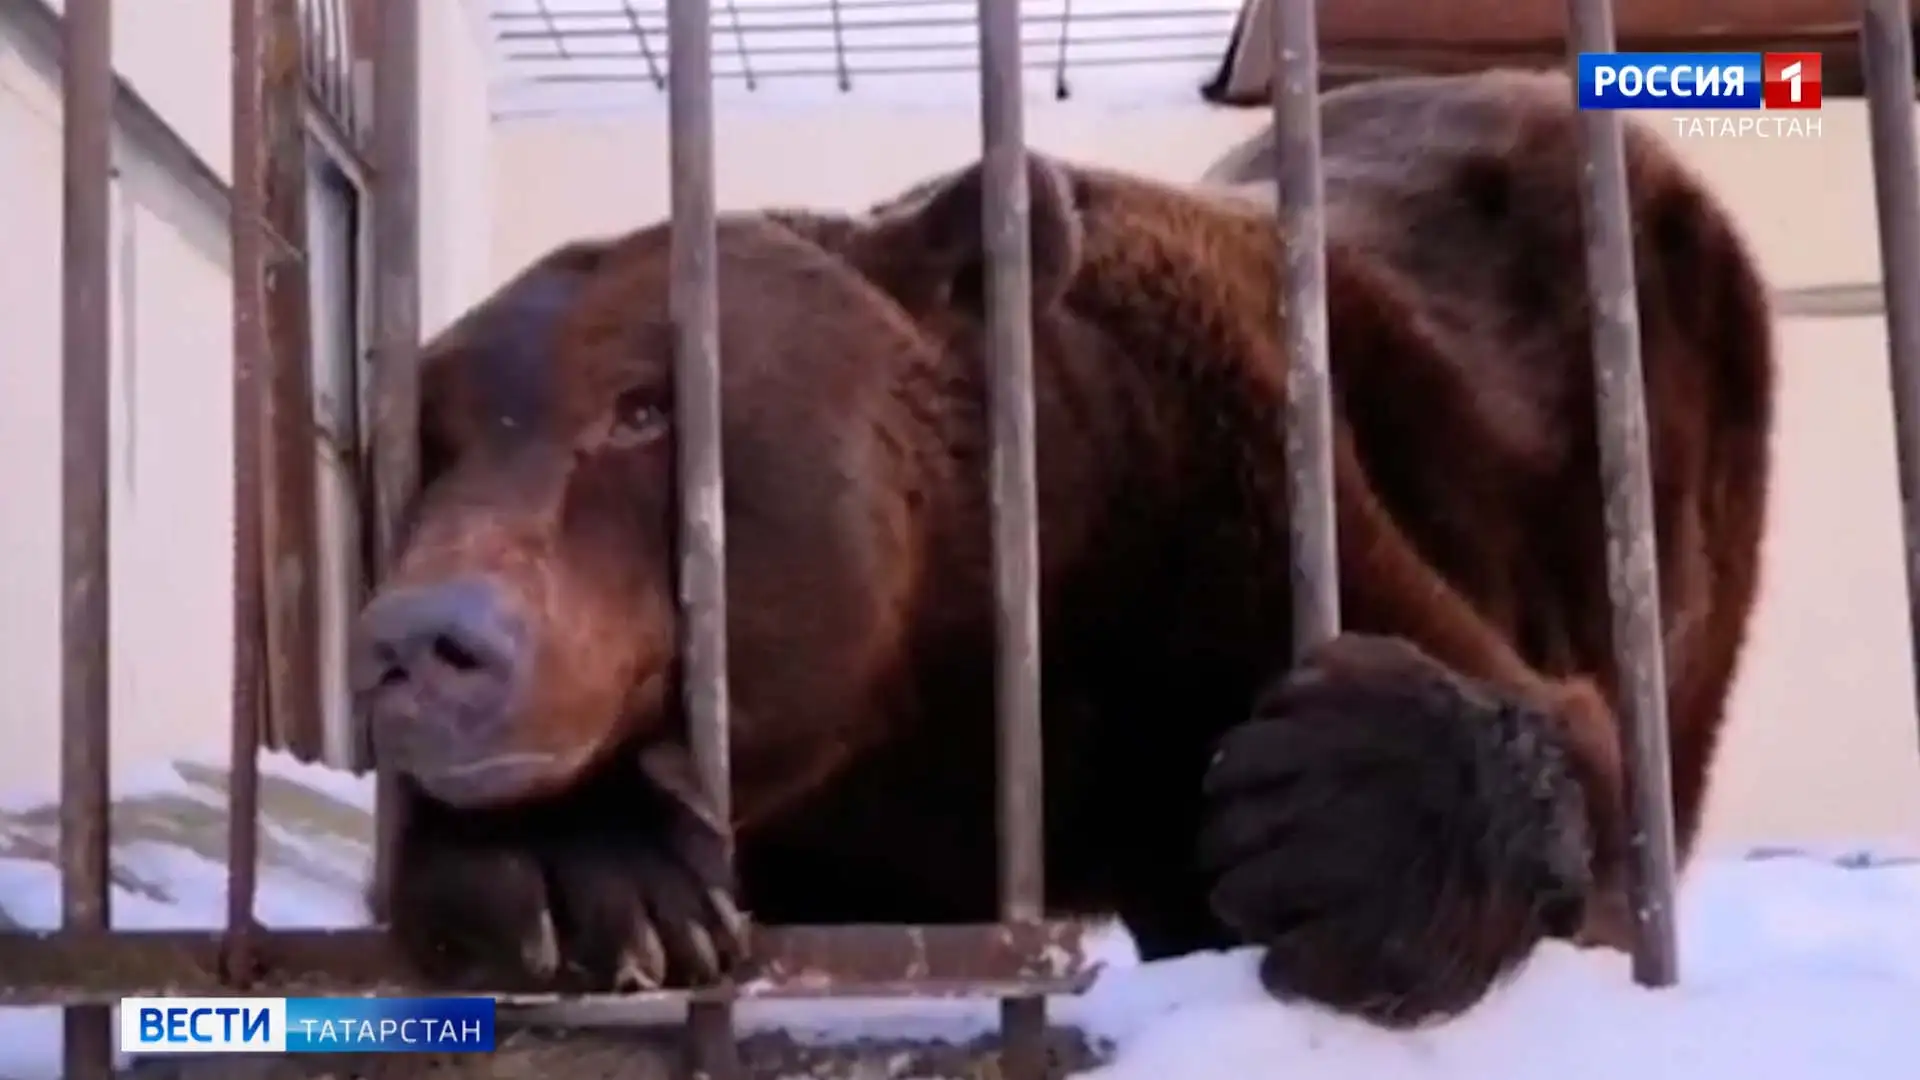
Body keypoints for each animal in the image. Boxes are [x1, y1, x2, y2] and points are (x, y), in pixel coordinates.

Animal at [357, 69, 1766, 1022]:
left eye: (643, 409)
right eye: (431, 433)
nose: (422, 643)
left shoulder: (1234, 500)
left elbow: (1563, 744)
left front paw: (1331, 814)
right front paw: (584, 874)